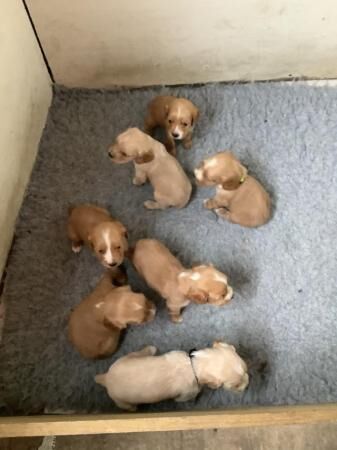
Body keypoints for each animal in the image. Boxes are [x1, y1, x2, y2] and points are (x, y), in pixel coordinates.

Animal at [94, 342, 247, 412]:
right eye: (236, 385)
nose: (246, 385)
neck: (193, 365)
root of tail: (106, 378)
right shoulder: (187, 393)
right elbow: (185, 397)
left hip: (125, 359)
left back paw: (150, 349)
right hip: (122, 401)